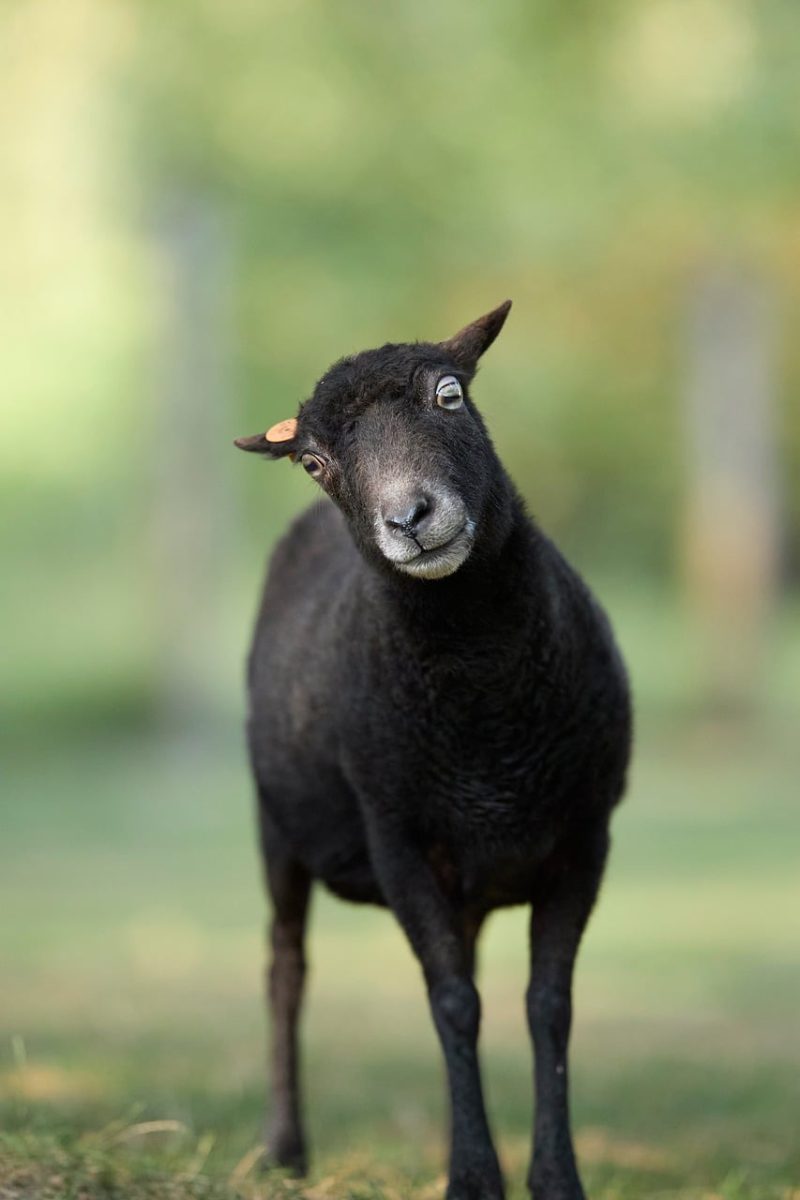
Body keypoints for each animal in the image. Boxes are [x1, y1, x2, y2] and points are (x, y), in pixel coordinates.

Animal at [235, 301, 632, 1200]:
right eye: (313, 461)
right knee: (286, 970)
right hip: (278, 829)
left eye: (449, 394)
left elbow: (545, 1003)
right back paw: (285, 1148)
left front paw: (553, 1176)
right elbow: (452, 1002)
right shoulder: (398, 836)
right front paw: (474, 1177)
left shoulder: (585, 834)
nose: (409, 521)